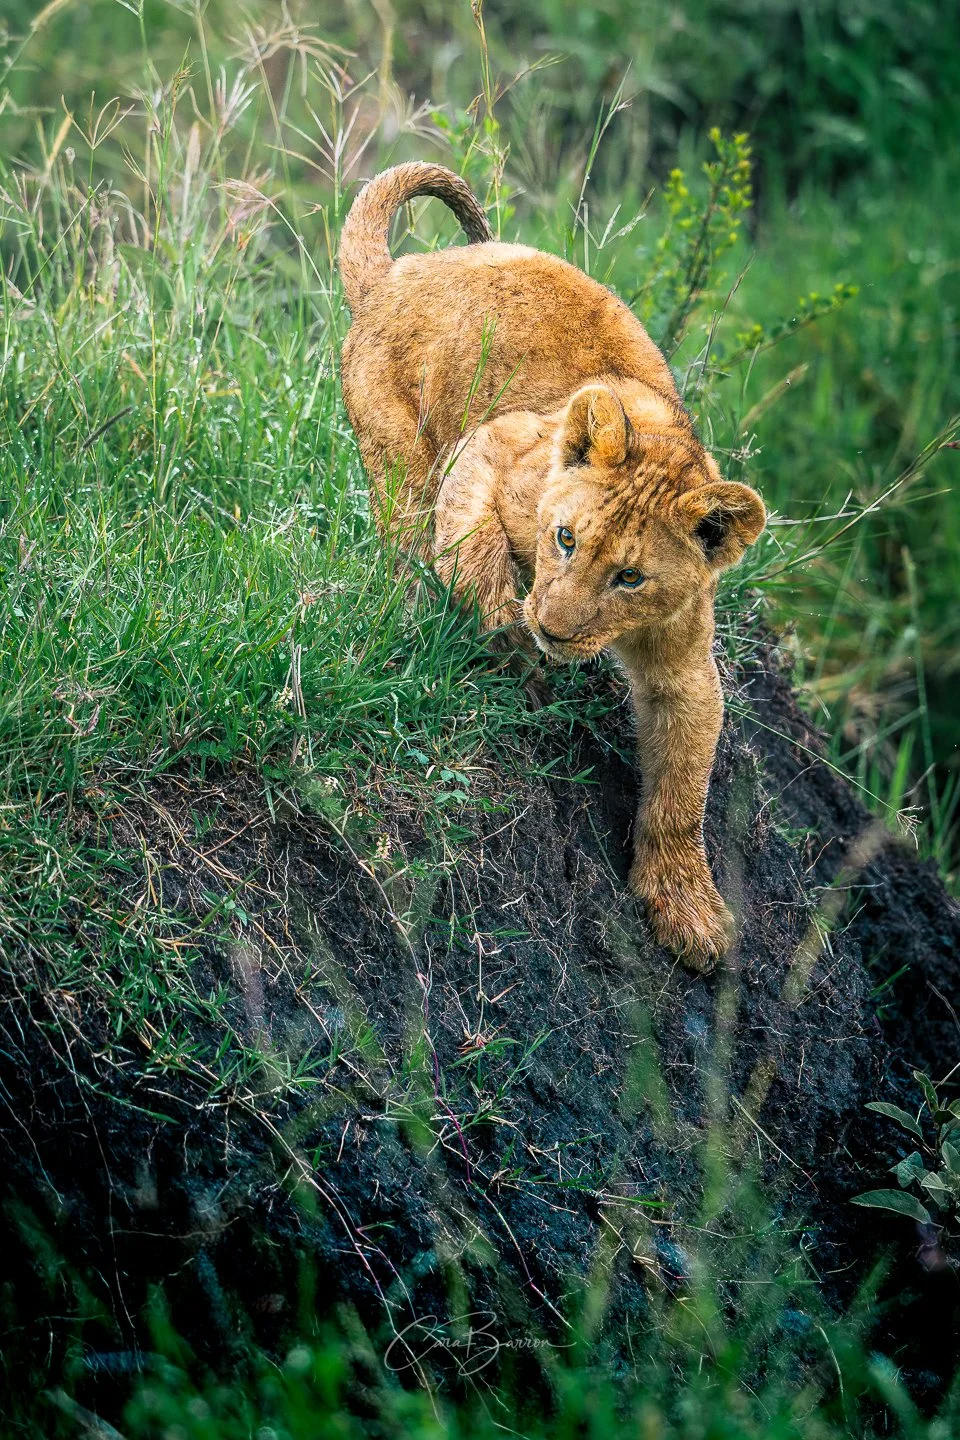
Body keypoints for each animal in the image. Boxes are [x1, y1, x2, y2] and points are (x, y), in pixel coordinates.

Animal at [339, 162, 766, 970]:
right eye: (565, 540)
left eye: (630, 579)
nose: (557, 631)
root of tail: (399, 272)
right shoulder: (494, 443)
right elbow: (472, 549)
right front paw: (507, 633)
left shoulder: (681, 659)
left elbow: (681, 791)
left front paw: (686, 907)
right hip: (400, 455)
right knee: (408, 540)